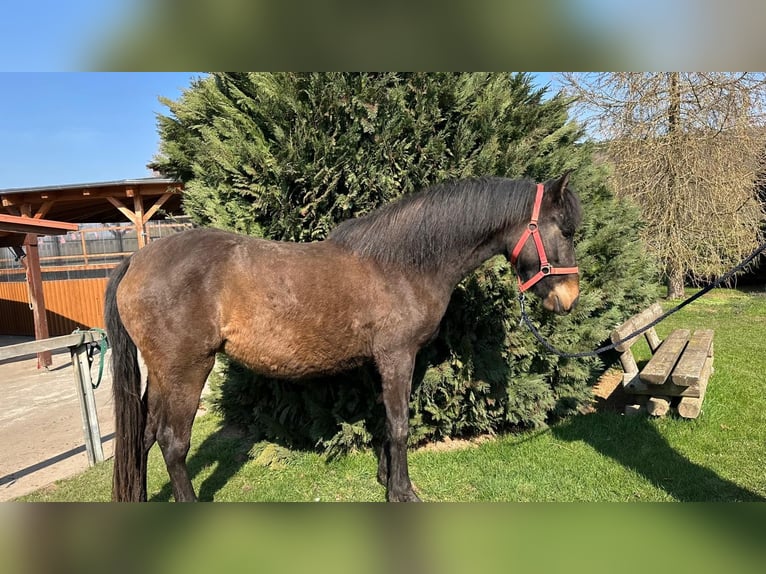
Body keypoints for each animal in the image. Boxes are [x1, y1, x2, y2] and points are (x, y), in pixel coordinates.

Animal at [105, 173, 582, 502]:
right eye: (565, 230)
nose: (569, 297)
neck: (403, 263)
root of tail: (135, 260)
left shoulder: (379, 363)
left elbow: (384, 421)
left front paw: (386, 478)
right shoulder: (397, 357)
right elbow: (400, 424)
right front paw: (402, 492)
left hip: (161, 375)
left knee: (144, 436)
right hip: (186, 370)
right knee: (172, 442)